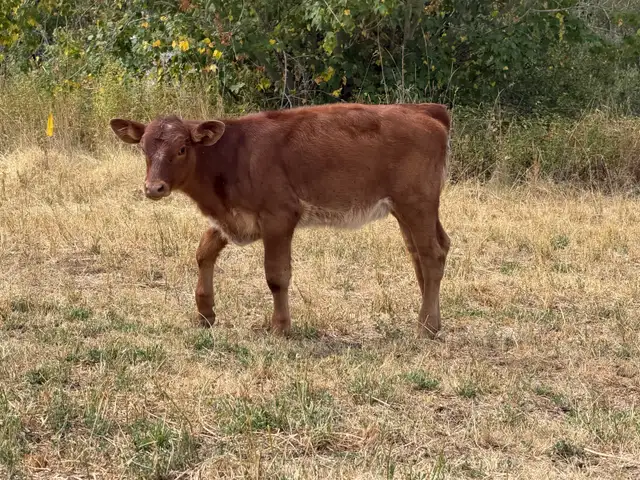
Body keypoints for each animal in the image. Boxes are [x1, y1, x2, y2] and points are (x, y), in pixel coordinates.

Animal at [110, 102, 451, 338]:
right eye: (144, 149)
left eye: (181, 148)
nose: (153, 188)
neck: (233, 155)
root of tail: (423, 109)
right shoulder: (233, 217)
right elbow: (203, 252)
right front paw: (205, 311)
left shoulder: (279, 216)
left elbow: (276, 275)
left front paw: (280, 326)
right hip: (407, 209)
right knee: (426, 252)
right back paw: (433, 318)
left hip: (416, 202)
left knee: (431, 255)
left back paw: (425, 326)